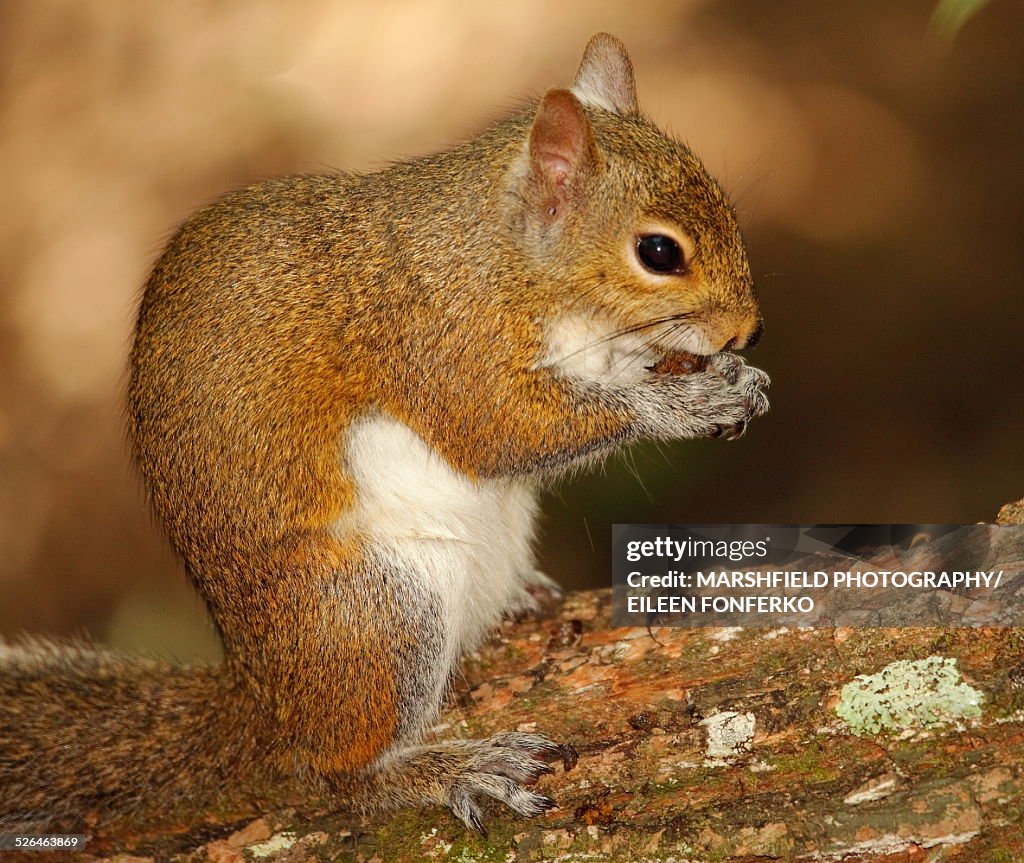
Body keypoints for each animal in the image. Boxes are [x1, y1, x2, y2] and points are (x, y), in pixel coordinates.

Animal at [0, 33, 770, 835]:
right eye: (659, 252)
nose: (748, 329)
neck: (509, 257)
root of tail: (267, 701)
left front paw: (734, 377)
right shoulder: (439, 342)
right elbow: (498, 430)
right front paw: (681, 402)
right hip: (381, 611)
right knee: (337, 777)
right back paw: (446, 769)